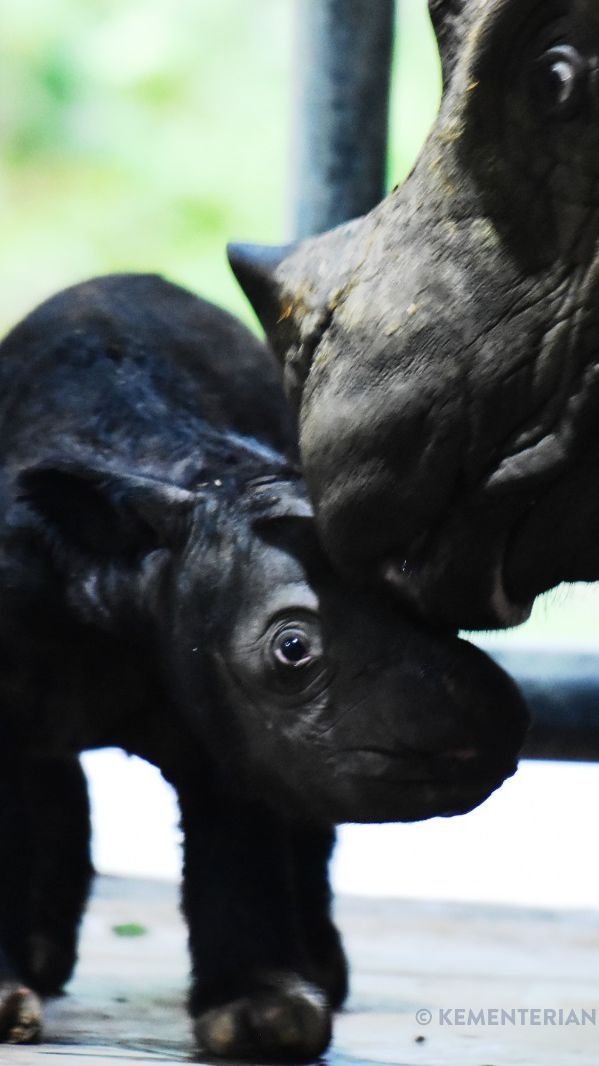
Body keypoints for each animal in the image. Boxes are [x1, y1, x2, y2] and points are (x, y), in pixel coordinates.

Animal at [0, 272, 522, 1057]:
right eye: (292, 649)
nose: (498, 723)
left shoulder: (229, 720)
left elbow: (240, 826)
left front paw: (263, 1018)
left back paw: (322, 974)